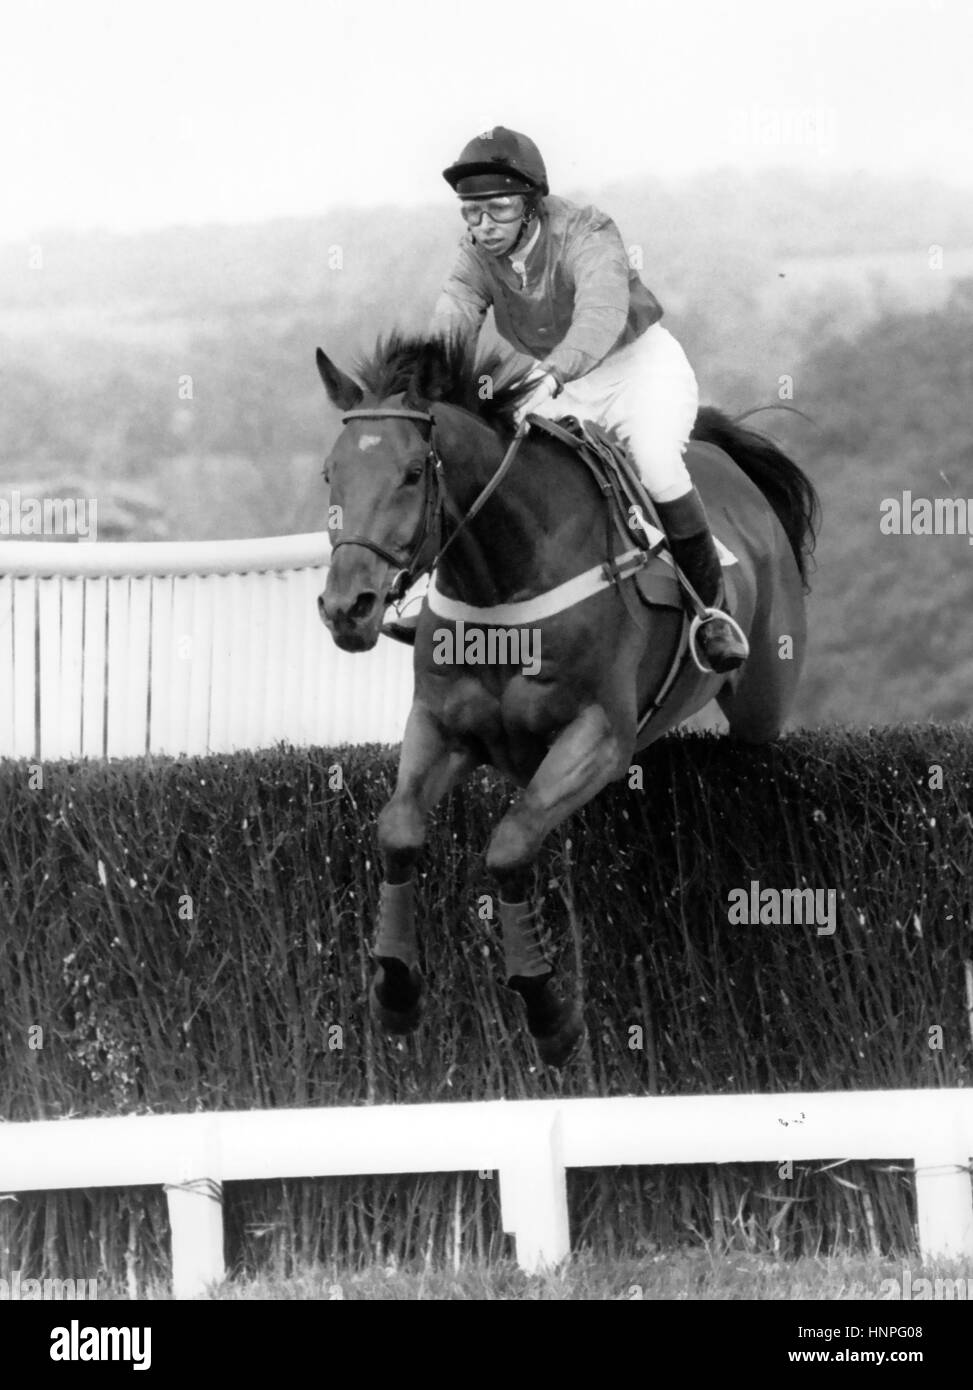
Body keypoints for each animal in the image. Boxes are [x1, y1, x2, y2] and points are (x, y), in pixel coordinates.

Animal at [315, 333, 817, 1061]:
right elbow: (399, 830)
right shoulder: (441, 725)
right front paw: (396, 991)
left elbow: (511, 843)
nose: (345, 608)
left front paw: (549, 1012)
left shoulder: (598, 737)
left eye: (412, 472)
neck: (506, 578)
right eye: (332, 475)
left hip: (765, 694)